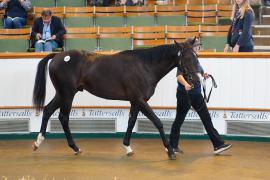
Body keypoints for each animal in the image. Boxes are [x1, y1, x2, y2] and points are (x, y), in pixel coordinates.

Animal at [32, 39, 199, 160]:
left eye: (196, 57)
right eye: (186, 58)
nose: (196, 80)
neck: (144, 66)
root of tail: (57, 56)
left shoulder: (135, 101)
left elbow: (131, 122)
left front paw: (128, 148)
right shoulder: (140, 100)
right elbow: (157, 122)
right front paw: (169, 150)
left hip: (62, 94)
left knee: (48, 110)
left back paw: (39, 142)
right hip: (67, 94)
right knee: (63, 117)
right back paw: (74, 147)